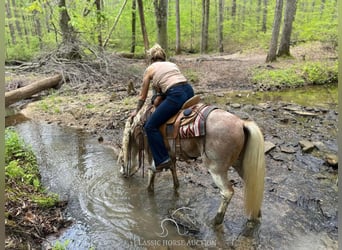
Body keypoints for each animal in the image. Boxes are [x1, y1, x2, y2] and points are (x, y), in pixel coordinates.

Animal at [119, 98, 266, 226]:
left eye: (121, 159)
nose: (122, 174)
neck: (141, 124)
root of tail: (242, 123)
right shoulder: (170, 154)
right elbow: (172, 169)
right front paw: (176, 188)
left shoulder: (151, 153)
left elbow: (152, 173)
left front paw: (149, 191)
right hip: (240, 164)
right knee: (252, 184)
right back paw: (254, 215)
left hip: (216, 169)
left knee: (227, 192)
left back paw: (216, 221)